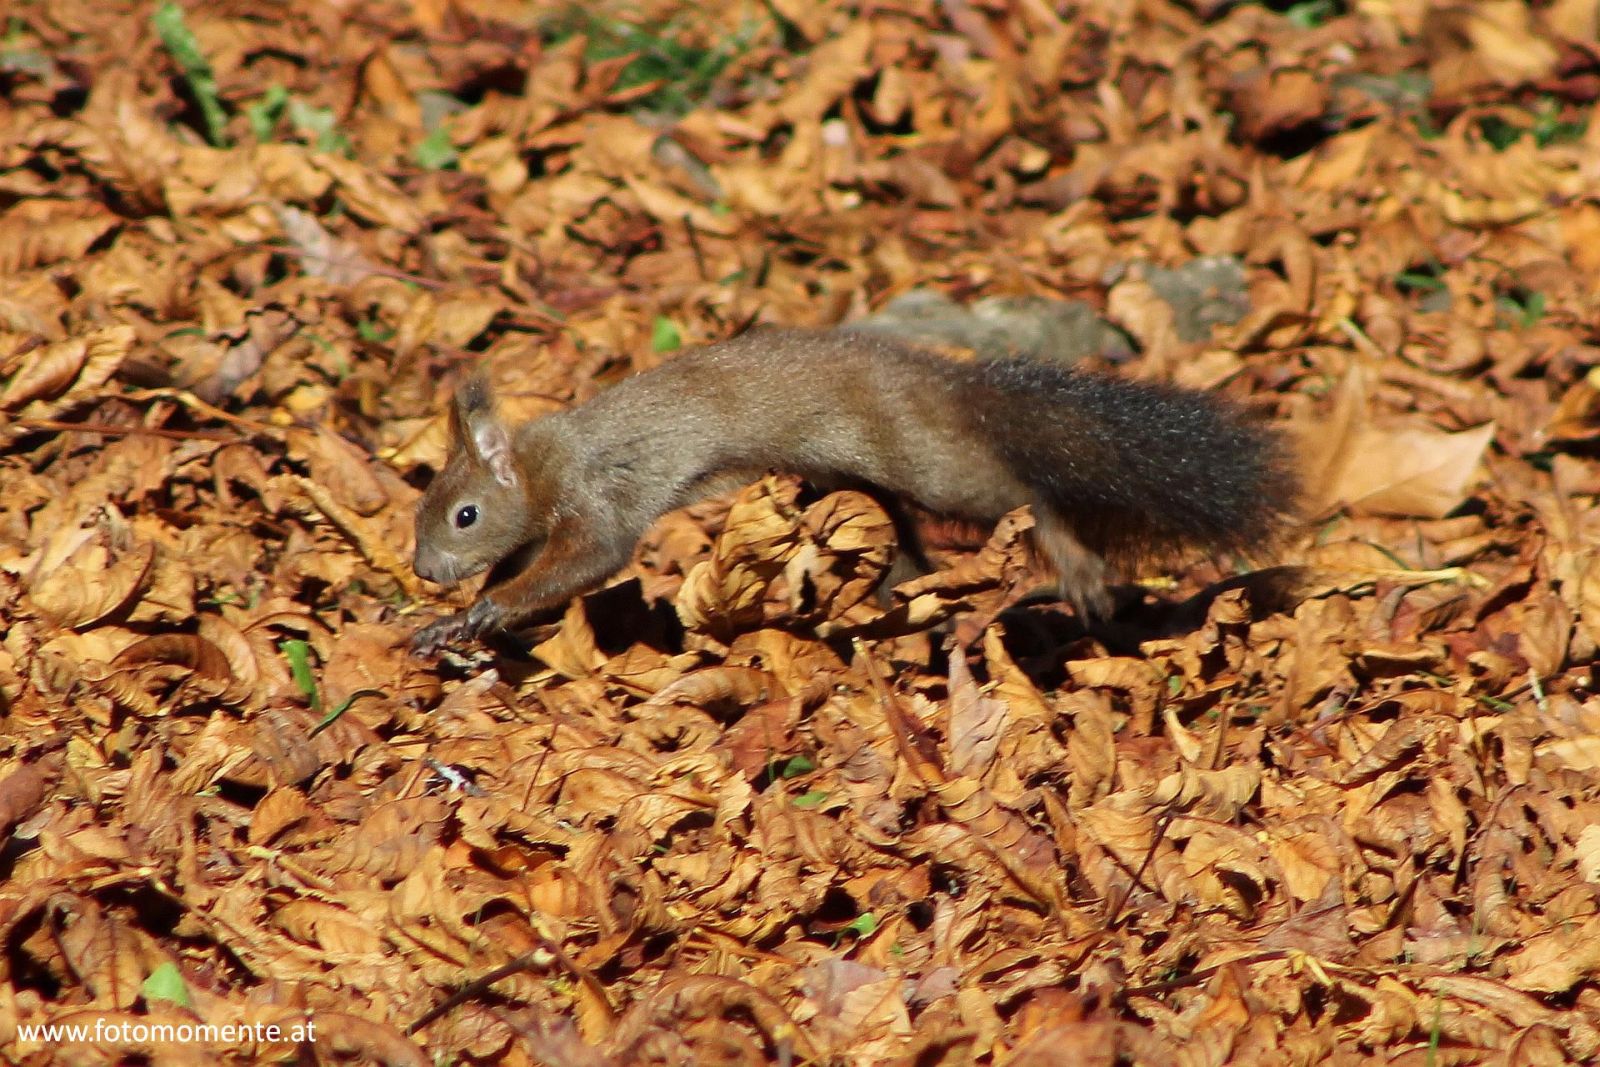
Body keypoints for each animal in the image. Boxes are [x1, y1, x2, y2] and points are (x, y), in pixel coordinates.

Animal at [412, 326, 1299, 655]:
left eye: (464, 514)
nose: (423, 569)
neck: (539, 461)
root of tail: (947, 386)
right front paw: (452, 620)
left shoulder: (599, 496)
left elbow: (587, 558)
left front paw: (486, 608)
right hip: (865, 478)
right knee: (907, 540)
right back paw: (899, 596)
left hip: (931, 463)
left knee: (1022, 491)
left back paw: (1073, 565)